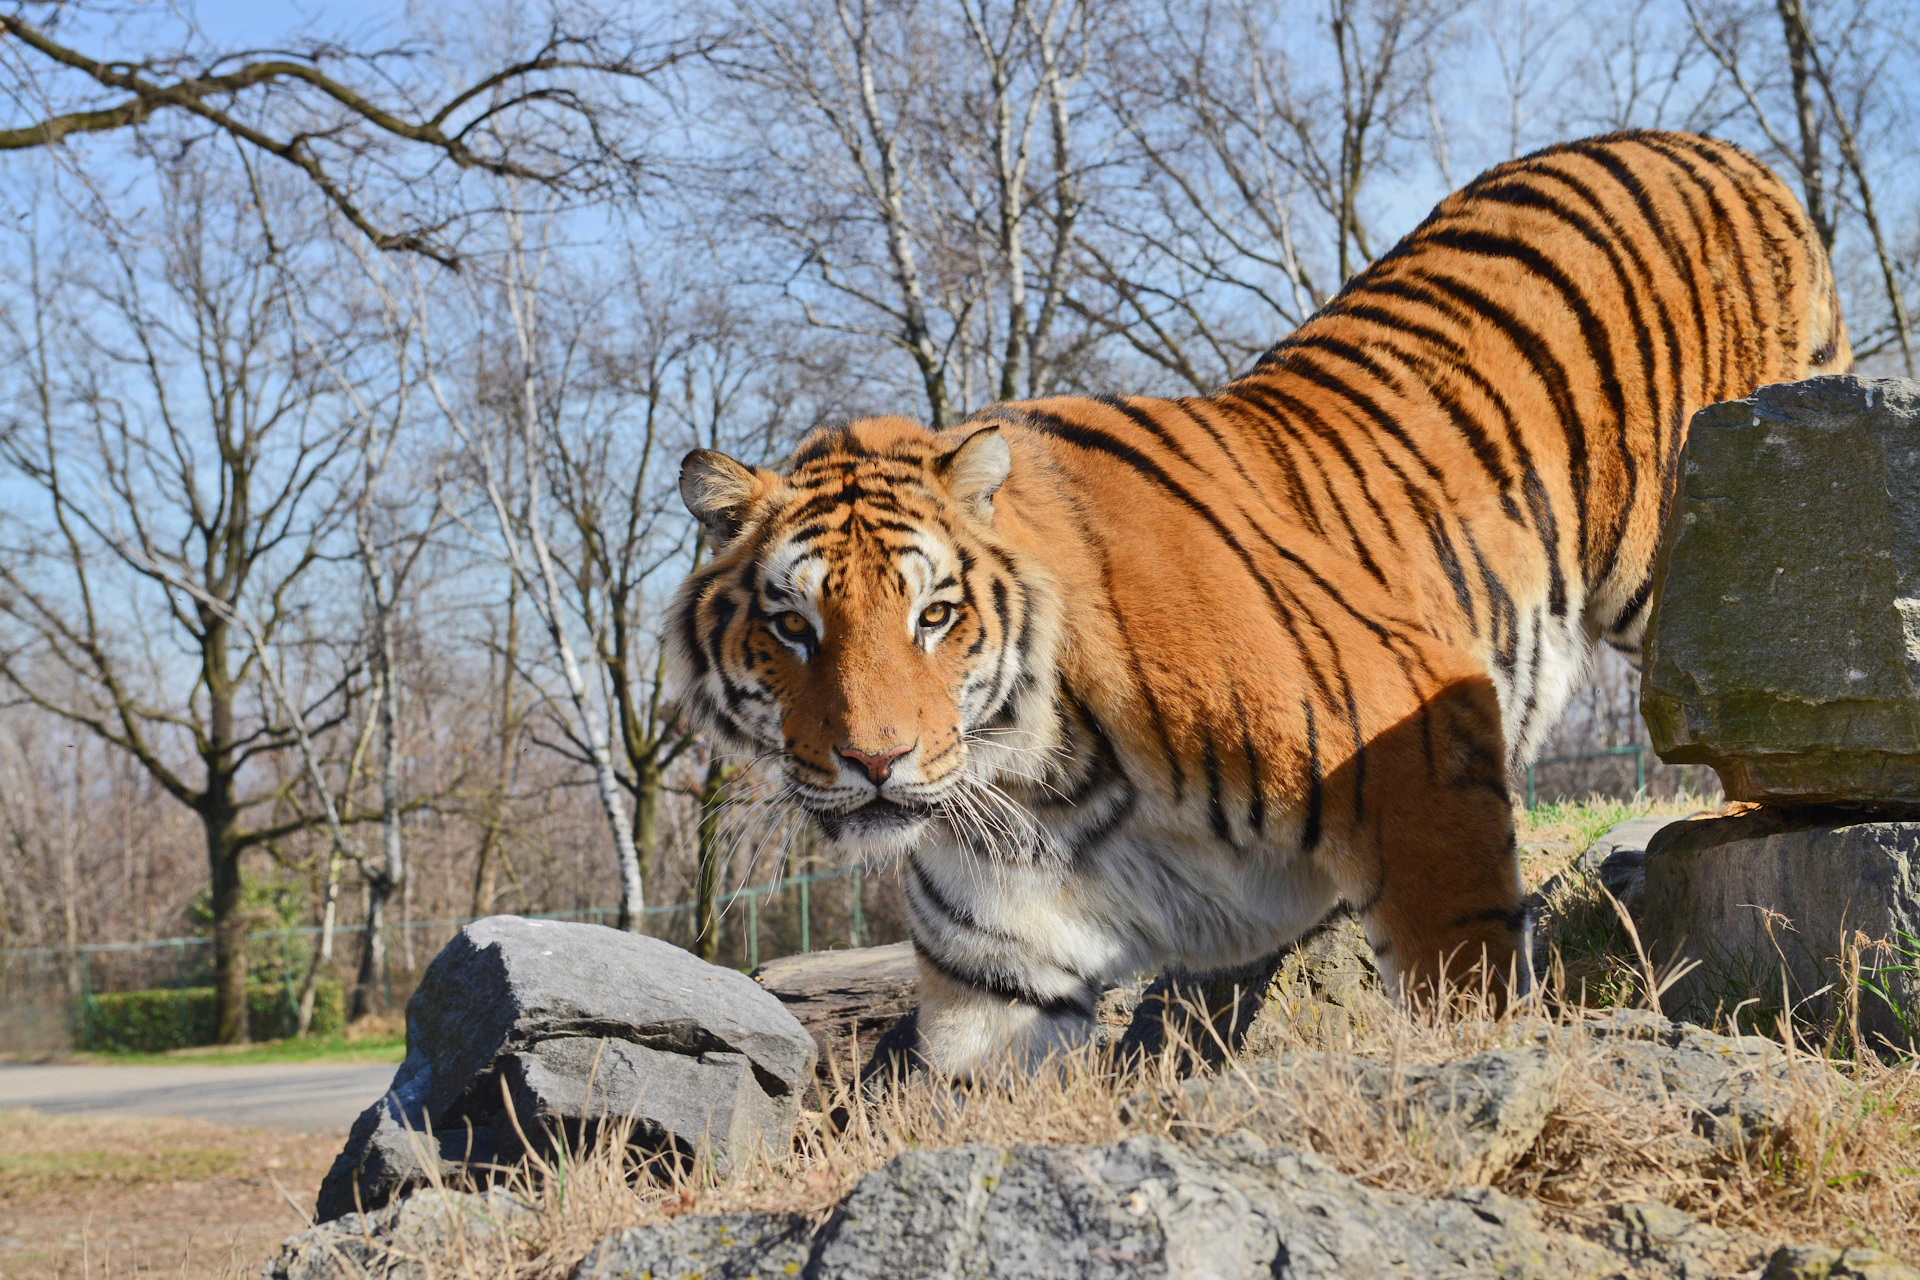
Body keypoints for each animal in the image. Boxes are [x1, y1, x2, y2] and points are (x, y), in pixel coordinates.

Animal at [666, 131, 1849, 1076]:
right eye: (793, 626)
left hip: (1697, 556)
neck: (1044, 785)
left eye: (933, 616)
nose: (876, 762)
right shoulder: (998, 972)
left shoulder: (1423, 743)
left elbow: (1459, 985)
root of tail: (1716, 148)